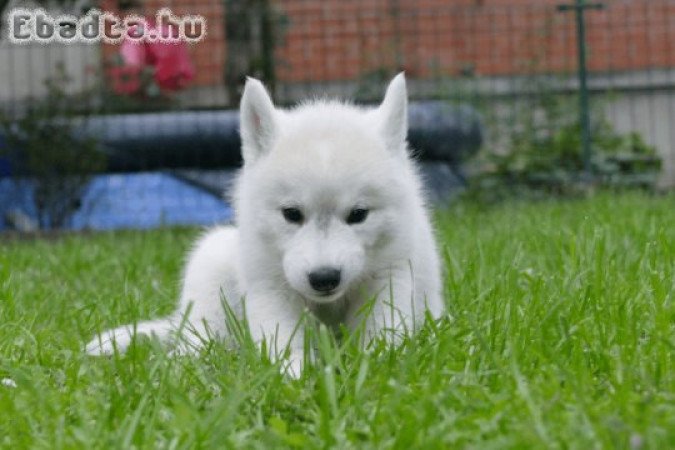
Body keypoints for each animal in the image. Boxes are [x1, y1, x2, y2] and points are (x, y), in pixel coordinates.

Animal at [86, 74, 444, 376]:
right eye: (291, 214)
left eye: (358, 214)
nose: (324, 278)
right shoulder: (269, 284)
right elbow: (281, 339)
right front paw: (294, 375)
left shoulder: (390, 274)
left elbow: (380, 333)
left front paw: (377, 367)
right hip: (212, 265)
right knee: (200, 338)